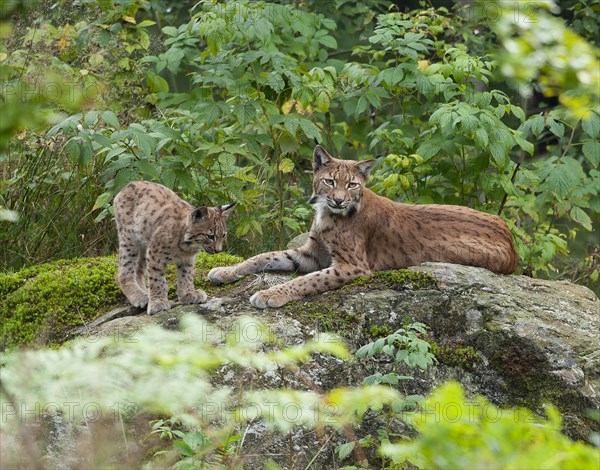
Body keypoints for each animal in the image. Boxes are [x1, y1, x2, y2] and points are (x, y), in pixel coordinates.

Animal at [113, 182, 236, 314]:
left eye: (223, 235)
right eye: (210, 236)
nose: (218, 250)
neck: (188, 244)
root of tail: (130, 184)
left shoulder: (187, 258)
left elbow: (186, 275)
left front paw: (188, 294)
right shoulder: (154, 253)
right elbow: (157, 279)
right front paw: (158, 301)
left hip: (143, 243)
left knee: (138, 271)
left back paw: (144, 293)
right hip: (130, 239)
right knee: (122, 273)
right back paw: (139, 296)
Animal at [207, 146, 516, 308]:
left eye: (353, 185)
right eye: (330, 181)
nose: (339, 200)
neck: (326, 213)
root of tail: (510, 236)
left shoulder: (354, 266)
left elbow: (307, 281)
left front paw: (270, 294)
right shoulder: (311, 253)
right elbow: (262, 256)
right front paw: (225, 271)